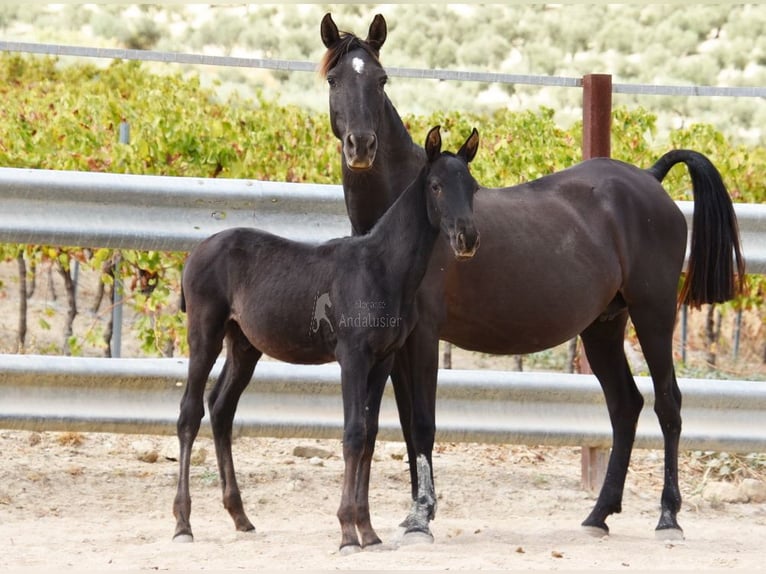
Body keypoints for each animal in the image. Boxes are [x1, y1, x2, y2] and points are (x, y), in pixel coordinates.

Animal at [172, 125, 481, 553]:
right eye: (435, 186)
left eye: (473, 187)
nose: (467, 239)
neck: (381, 268)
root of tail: (197, 249)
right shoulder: (352, 357)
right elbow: (352, 434)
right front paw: (348, 532)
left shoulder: (382, 360)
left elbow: (369, 436)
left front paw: (369, 531)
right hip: (204, 334)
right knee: (190, 413)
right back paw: (183, 524)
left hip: (244, 346)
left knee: (221, 409)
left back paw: (240, 516)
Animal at [320, 13, 745, 541]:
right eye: (334, 79)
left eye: (380, 80)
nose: (361, 146)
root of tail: (650, 178)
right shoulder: (394, 342)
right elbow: (396, 422)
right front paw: (412, 513)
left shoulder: (423, 337)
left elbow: (422, 423)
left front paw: (421, 517)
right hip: (604, 326)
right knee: (625, 406)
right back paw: (598, 515)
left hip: (654, 314)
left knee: (668, 403)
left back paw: (668, 516)